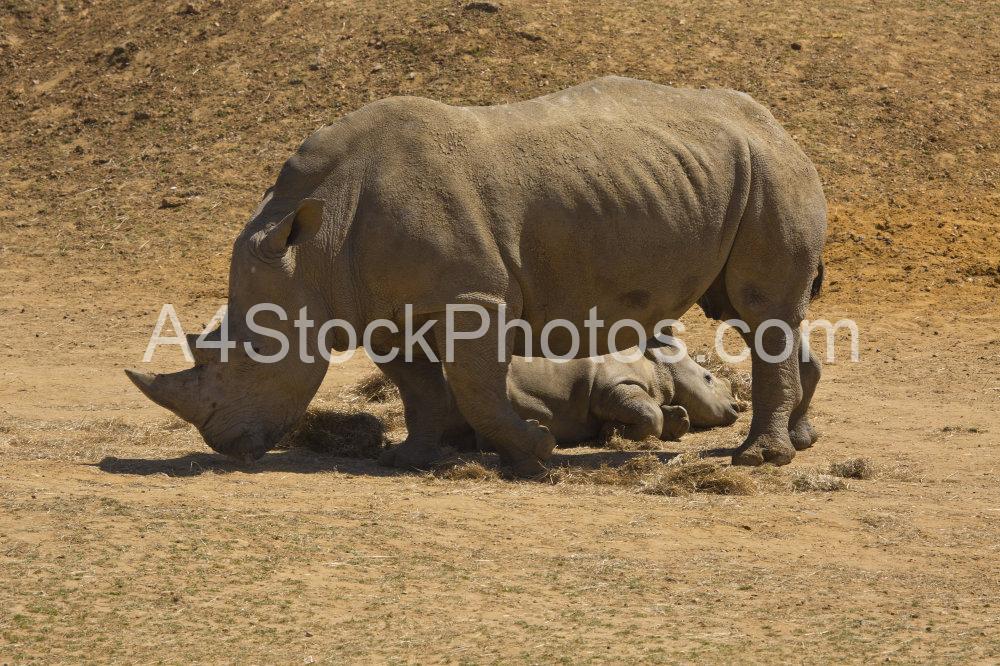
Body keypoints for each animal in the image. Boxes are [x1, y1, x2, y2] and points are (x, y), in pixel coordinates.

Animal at [127, 75, 828, 474]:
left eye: (249, 361)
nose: (223, 447)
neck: (313, 244)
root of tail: (779, 127)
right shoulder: (382, 306)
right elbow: (415, 383)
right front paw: (411, 458)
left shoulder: (474, 296)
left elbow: (475, 385)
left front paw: (535, 454)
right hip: (726, 174)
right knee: (752, 311)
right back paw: (802, 440)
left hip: (771, 173)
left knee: (760, 309)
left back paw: (759, 460)